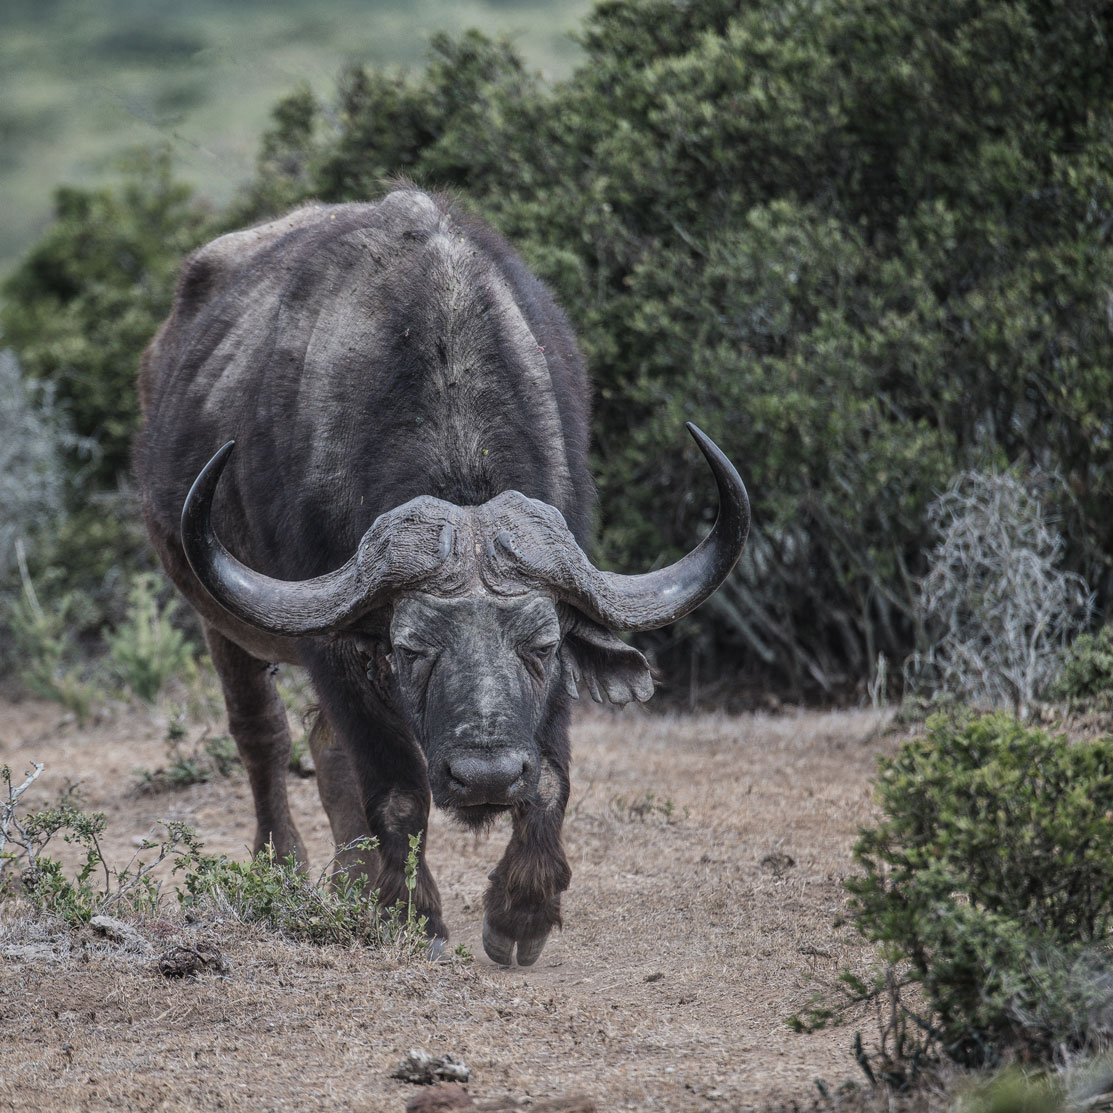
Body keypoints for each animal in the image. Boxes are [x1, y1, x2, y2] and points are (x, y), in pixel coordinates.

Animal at [136, 186, 747, 961]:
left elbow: (550, 777)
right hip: (224, 624)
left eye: (542, 647)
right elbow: (397, 789)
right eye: (412, 649)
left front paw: (521, 911)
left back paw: (353, 880)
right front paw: (414, 916)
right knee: (263, 738)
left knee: (325, 749)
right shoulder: (337, 649)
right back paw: (289, 867)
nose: (485, 775)